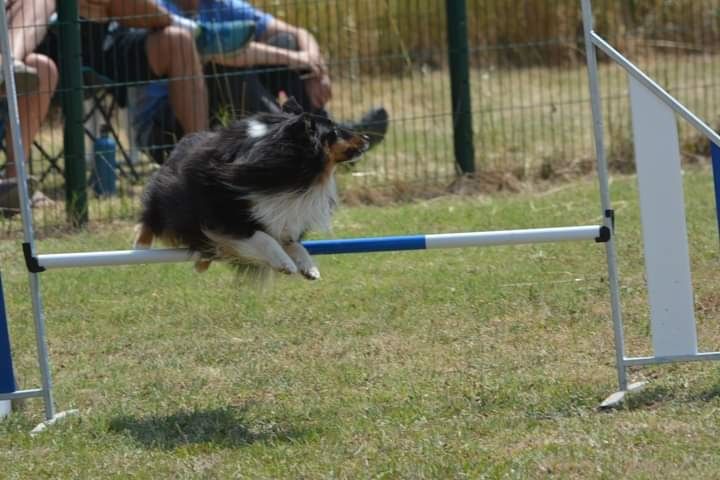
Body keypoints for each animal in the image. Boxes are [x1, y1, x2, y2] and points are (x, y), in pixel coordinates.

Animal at [134, 100, 372, 282]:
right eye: (334, 131)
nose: (367, 138)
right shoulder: (226, 217)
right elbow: (263, 237)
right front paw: (285, 263)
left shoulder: (283, 214)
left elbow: (292, 242)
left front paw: (309, 267)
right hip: (168, 200)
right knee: (150, 220)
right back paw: (139, 249)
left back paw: (202, 262)